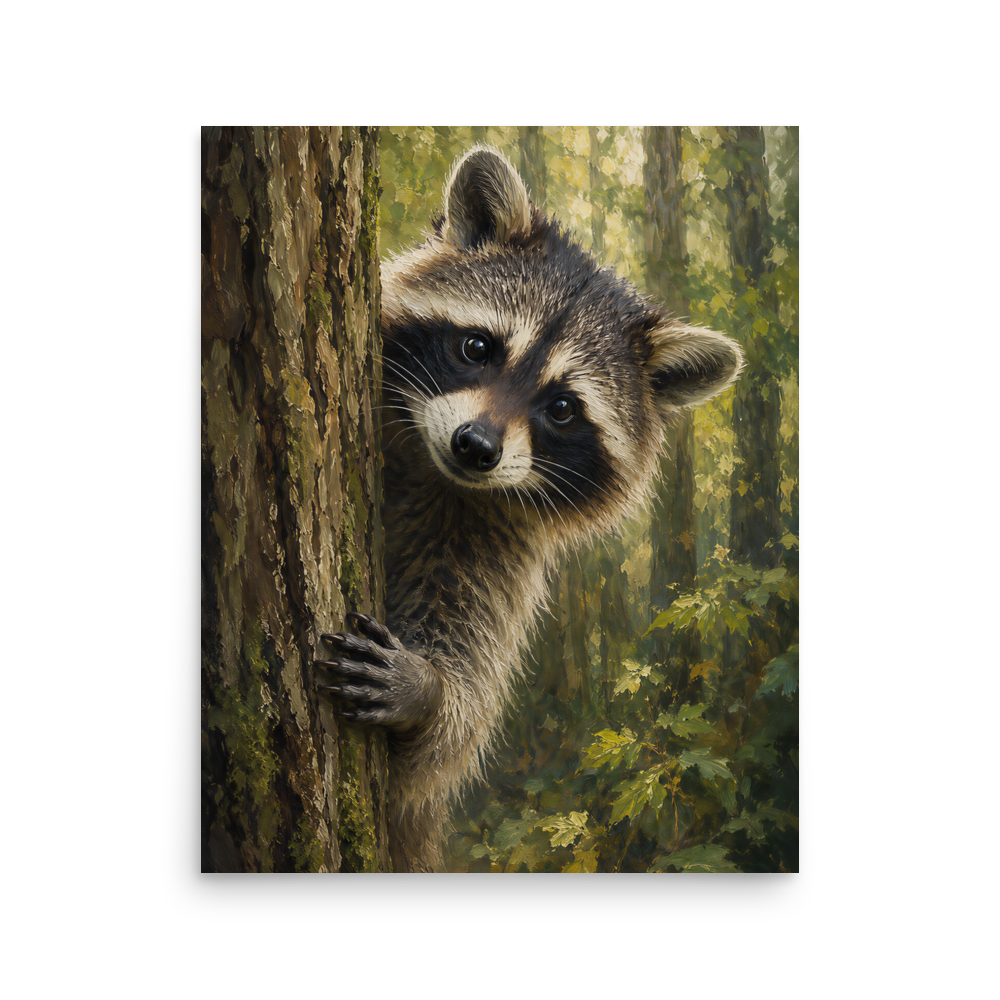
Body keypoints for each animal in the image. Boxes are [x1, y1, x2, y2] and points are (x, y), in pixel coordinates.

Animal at [316, 145, 744, 872]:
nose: (476, 447)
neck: (434, 472)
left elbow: (445, 739)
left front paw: (430, 694)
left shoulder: (494, 548)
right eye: (478, 347)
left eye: (563, 408)